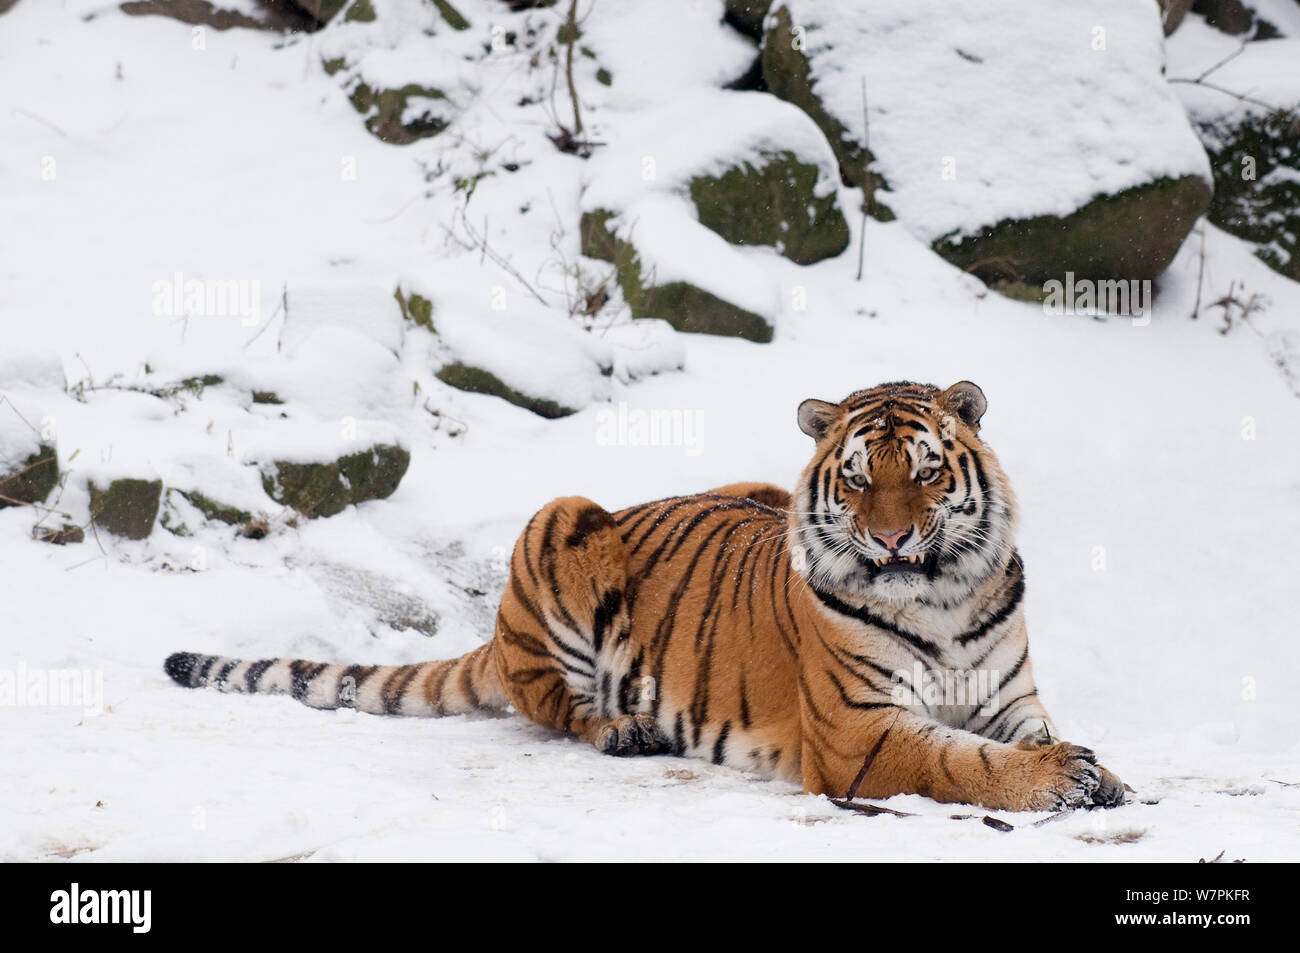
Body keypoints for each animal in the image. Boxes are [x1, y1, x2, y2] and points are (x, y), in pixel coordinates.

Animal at [167, 379, 1128, 811]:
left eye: (926, 471)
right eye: (857, 478)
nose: (892, 540)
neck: (943, 595)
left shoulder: (1010, 698)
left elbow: (1020, 735)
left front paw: (1103, 772)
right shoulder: (860, 731)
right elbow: (961, 761)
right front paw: (1062, 776)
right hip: (560, 521)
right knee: (554, 705)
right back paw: (622, 726)